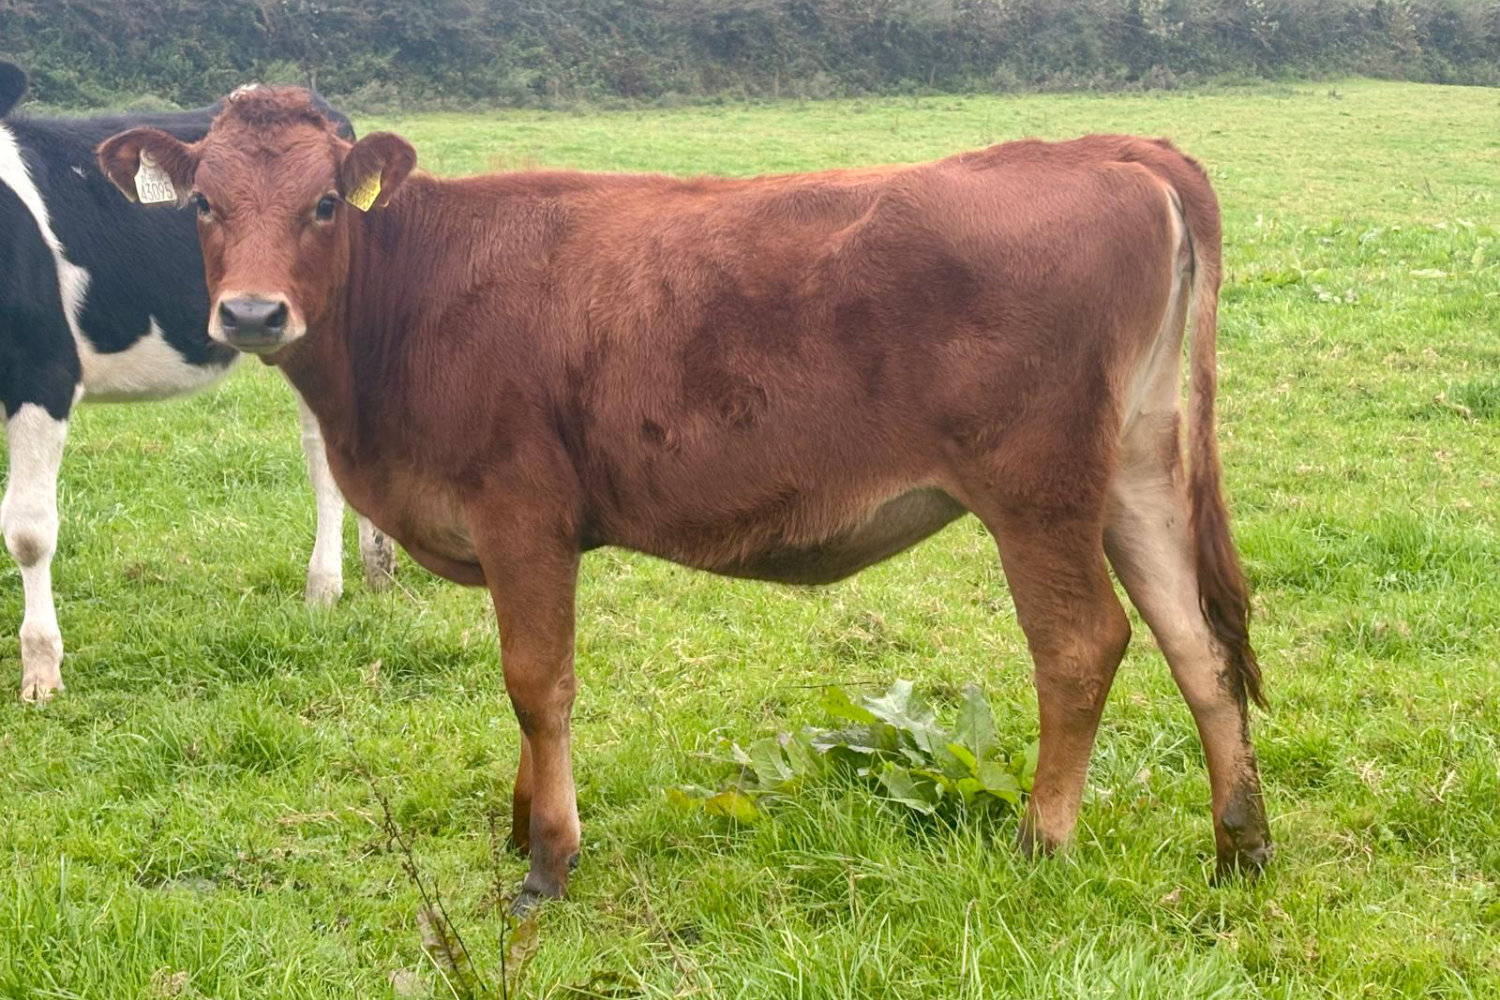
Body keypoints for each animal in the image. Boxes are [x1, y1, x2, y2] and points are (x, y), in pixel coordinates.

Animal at [99, 86, 1271, 909]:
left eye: (324, 203)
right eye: (203, 204)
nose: (253, 313)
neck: (410, 300)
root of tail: (1105, 148)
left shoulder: (520, 511)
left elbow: (537, 682)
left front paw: (548, 862)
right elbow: (529, 684)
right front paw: (521, 822)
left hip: (1036, 485)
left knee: (1083, 643)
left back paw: (1040, 842)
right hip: (1139, 464)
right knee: (1196, 639)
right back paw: (1241, 845)